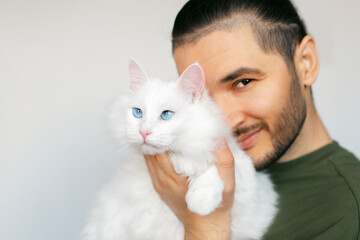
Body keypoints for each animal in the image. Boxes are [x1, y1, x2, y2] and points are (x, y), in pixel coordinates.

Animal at [82, 60, 278, 240]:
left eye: (166, 115)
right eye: (138, 113)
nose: (143, 132)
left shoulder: (245, 173)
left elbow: (214, 169)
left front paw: (201, 202)